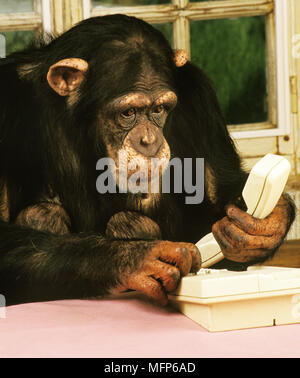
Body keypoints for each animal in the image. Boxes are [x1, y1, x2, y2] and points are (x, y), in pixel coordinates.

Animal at [0, 14, 296, 308]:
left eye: (159, 109)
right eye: (128, 112)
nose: (150, 140)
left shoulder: (200, 99)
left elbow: (216, 198)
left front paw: (265, 227)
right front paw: (136, 259)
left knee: (128, 221)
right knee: (42, 213)